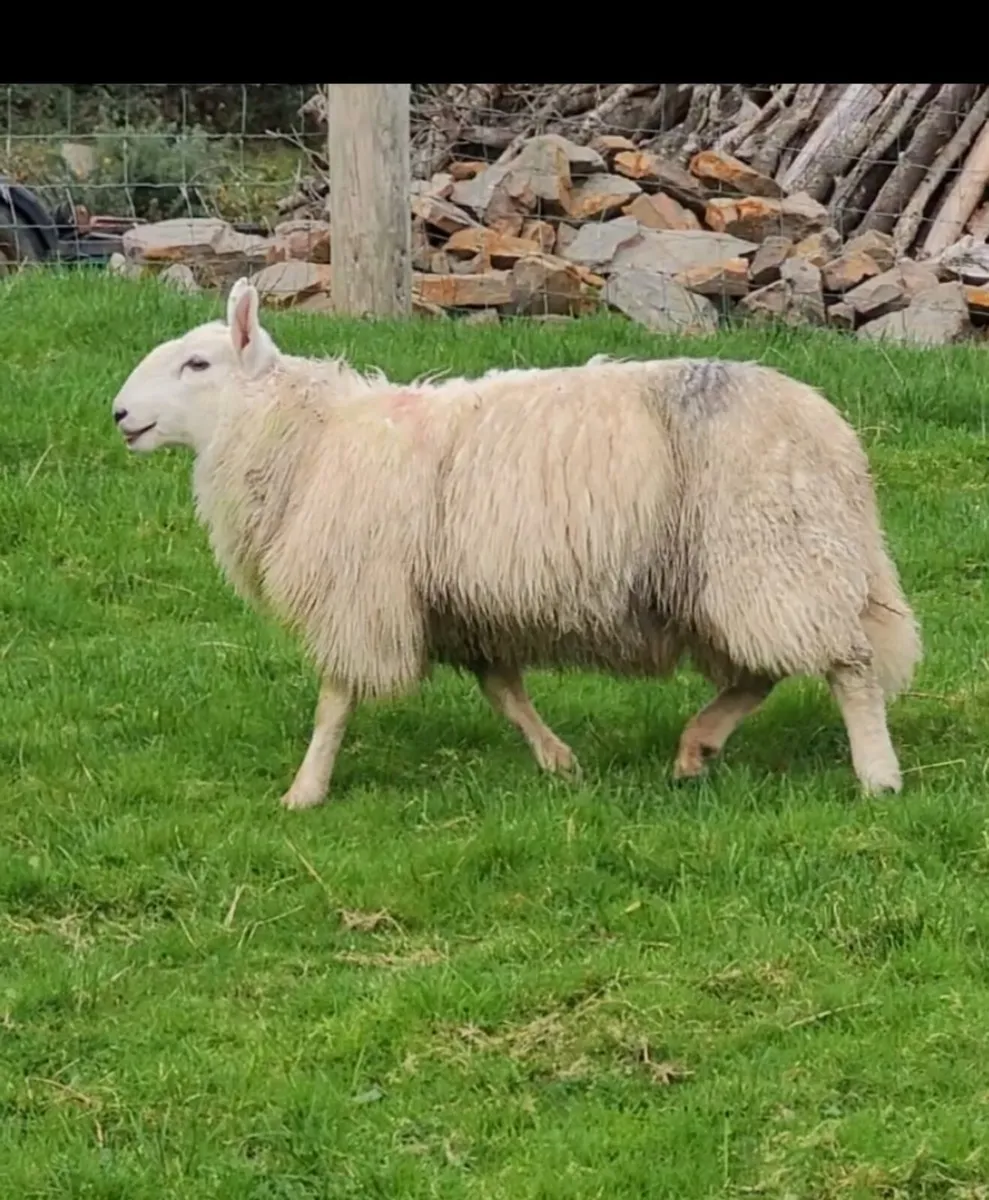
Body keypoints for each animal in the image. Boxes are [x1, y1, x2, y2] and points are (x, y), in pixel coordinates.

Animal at [110, 276, 921, 809]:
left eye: (198, 364)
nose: (119, 414)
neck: (308, 437)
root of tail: (834, 439)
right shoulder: (462, 603)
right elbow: (504, 691)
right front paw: (557, 761)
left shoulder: (362, 589)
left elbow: (334, 699)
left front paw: (305, 790)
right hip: (739, 574)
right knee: (760, 671)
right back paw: (698, 747)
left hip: (774, 553)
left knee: (846, 666)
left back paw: (876, 775)